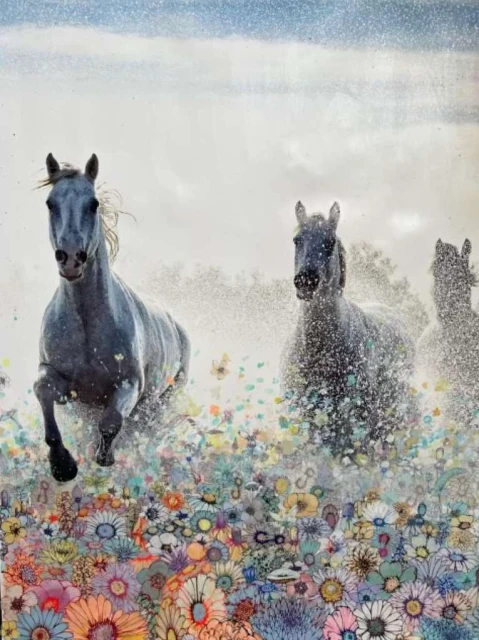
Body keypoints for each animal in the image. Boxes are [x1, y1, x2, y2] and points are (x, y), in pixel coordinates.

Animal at [34, 153, 190, 482]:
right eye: (50, 203)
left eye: (93, 203)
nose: (70, 258)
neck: (86, 328)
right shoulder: (59, 381)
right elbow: (43, 391)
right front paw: (62, 465)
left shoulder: (128, 385)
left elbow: (112, 422)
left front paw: (104, 458)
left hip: (159, 405)